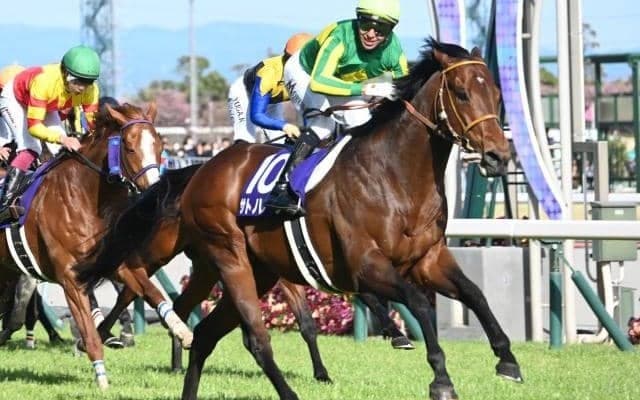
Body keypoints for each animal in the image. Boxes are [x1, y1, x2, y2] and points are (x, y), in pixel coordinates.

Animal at [0, 102, 165, 389]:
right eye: (130, 147)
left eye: (159, 145)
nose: (154, 191)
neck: (82, 195)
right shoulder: (69, 278)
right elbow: (88, 331)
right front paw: (102, 379)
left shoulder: (112, 261)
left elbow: (148, 291)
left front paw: (182, 331)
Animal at [76, 38, 521, 400]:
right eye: (461, 93)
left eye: (497, 94)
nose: (499, 156)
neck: (393, 176)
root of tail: (202, 169)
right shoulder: (366, 266)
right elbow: (417, 304)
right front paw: (441, 379)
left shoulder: (428, 259)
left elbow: (474, 294)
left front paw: (507, 360)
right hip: (227, 257)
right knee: (249, 336)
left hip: (248, 269)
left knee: (201, 333)